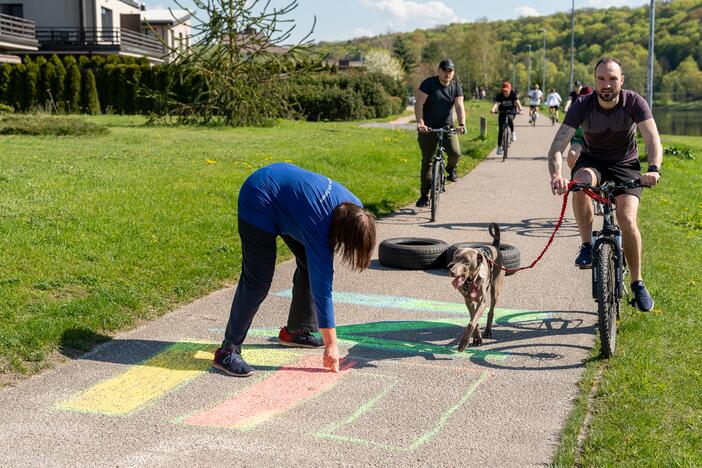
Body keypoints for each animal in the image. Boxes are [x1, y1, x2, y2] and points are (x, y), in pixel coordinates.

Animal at [452, 224, 506, 352]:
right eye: (455, 258)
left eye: (466, 260)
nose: (451, 272)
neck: (471, 280)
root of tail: (494, 246)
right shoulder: (468, 300)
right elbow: (473, 319)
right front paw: (477, 338)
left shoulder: (482, 302)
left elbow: (472, 322)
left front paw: (464, 342)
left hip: (495, 289)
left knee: (491, 310)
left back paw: (488, 331)